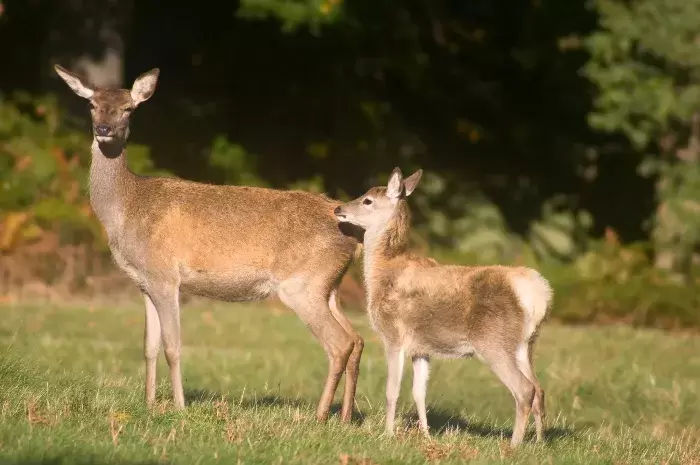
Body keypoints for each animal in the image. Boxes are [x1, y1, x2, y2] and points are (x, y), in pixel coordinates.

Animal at [52, 65, 364, 420]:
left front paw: (179, 407)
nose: (104, 129)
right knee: (357, 339)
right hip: (329, 285)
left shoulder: (165, 275)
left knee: (339, 344)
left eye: (129, 108)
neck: (127, 208)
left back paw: (320, 416)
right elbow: (148, 346)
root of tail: (354, 235)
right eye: (92, 104)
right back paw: (344, 417)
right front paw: (149, 404)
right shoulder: (143, 282)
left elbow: (172, 346)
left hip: (303, 284)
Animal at [334, 168, 552, 446]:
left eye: (367, 200)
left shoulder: (393, 334)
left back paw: (513, 445)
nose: (338, 208)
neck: (384, 271)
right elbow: (419, 392)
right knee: (539, 389)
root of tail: (538, 294)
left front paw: (387, 434)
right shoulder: (421, 348)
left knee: (524, 389)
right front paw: (426, 435)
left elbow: (392, 390)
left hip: (493, 341)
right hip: (526, 345)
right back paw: (539, 442)